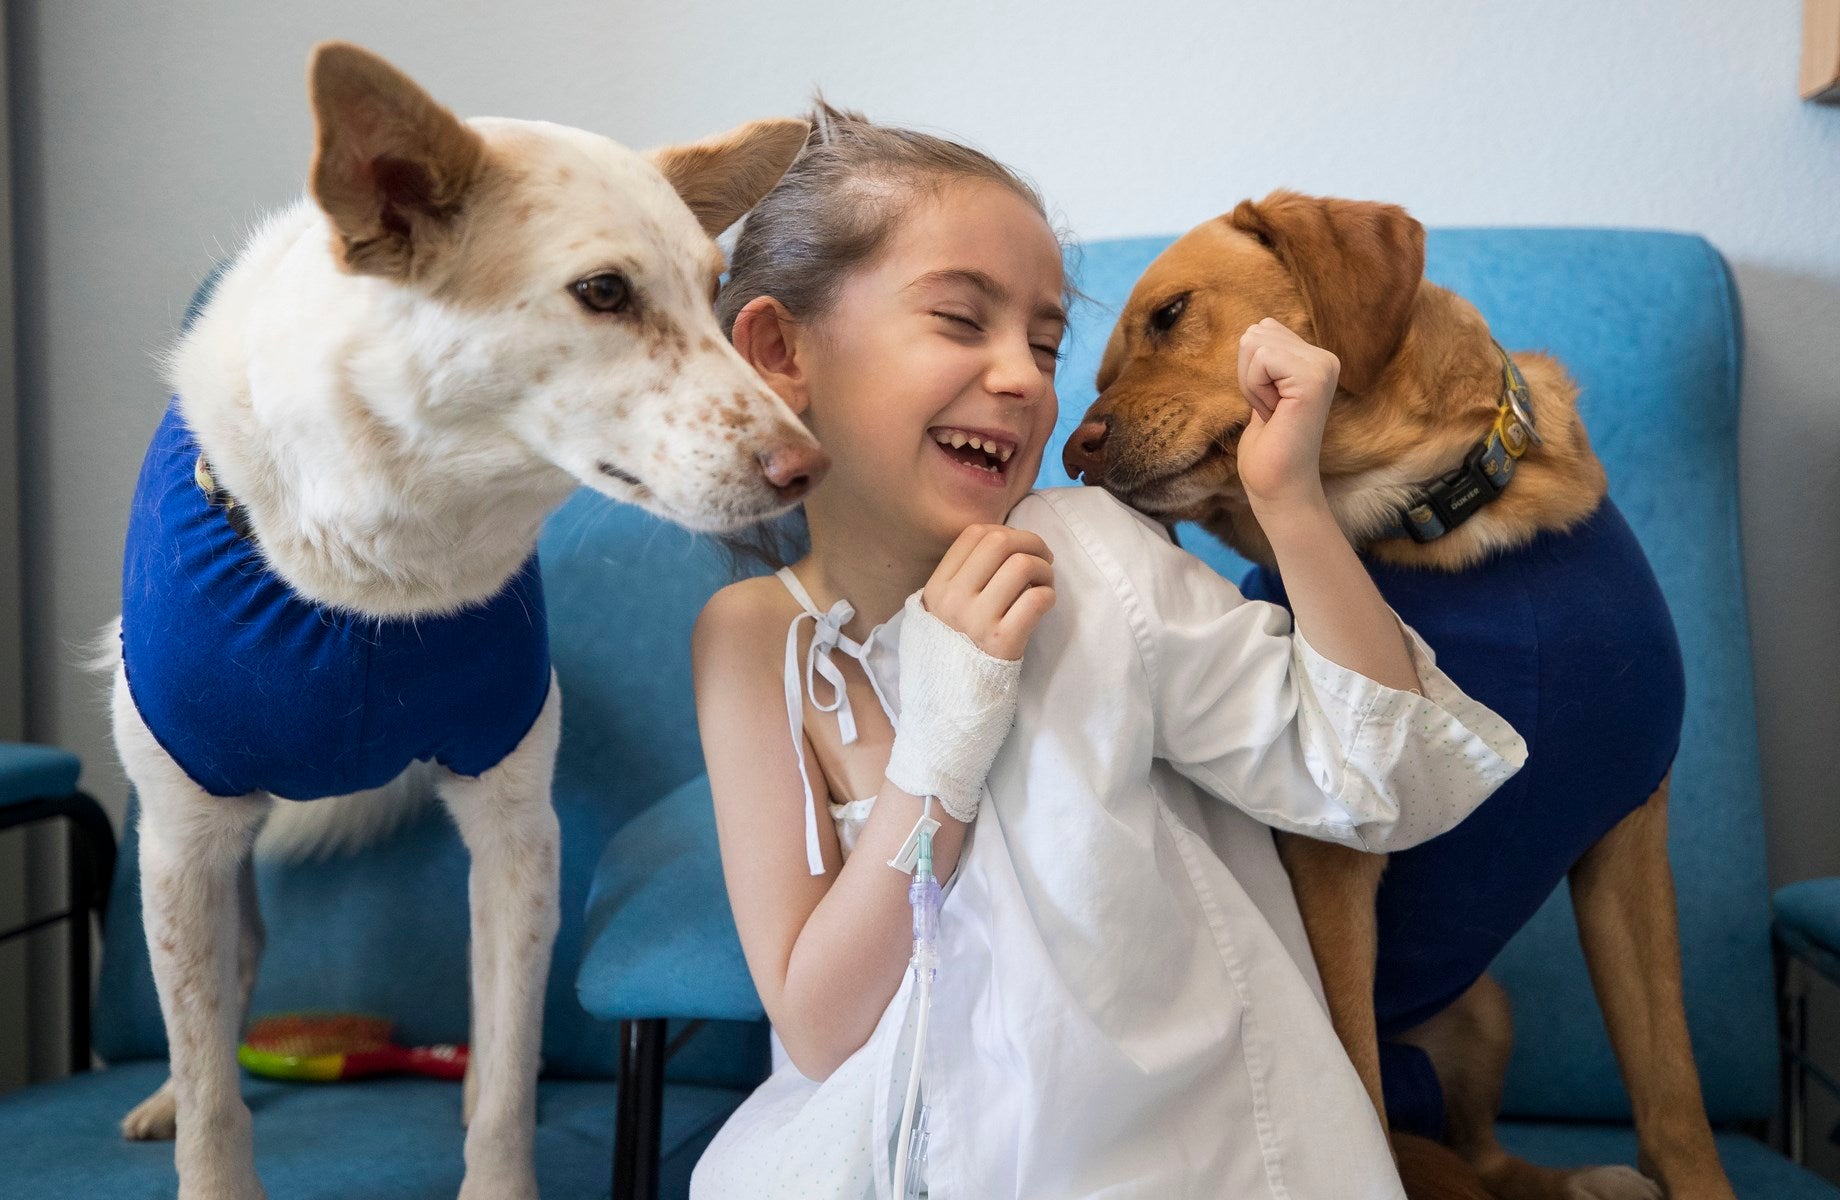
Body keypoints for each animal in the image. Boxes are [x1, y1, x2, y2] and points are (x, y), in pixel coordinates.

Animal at [102, 42, 820, 1192]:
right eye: (604, 292)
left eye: (716, 295)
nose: (810, 466)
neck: (377, 585)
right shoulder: (184, 836)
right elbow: (215, 1095)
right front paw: (201, 1132)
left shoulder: (517, 829)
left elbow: (515, 1062)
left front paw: (496, 1164)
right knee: (223, 983)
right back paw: (167, 1088)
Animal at [1074, 192, 1729, 1200]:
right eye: (1099, 373)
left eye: (1170, 316)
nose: (1072, 451)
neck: (1427, 525)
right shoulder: (1333, 865)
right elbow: (1357, 1081)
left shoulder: (1628, 832)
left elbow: (1674, 1098)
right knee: (1429, 1139)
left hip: (1487, 1010)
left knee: (1485, 1154)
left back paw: (1575, 1178)